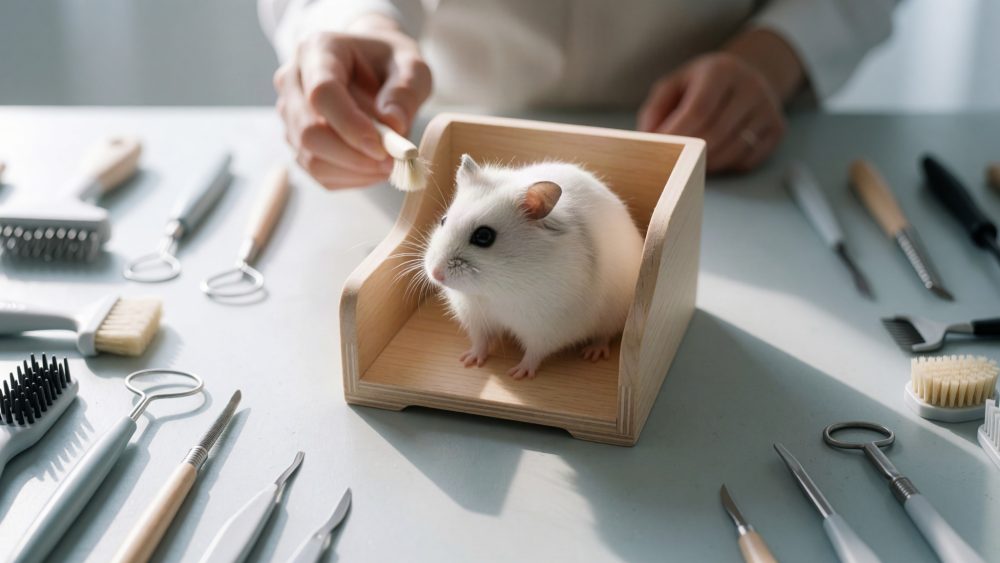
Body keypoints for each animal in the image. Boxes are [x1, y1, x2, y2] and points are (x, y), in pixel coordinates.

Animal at [422, 155, 644, 379]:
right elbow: (480, 341)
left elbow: (534, 353)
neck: (496, 290)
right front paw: (469, 360)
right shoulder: (476, 318)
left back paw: (592, 353)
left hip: (613, 315)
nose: (436, 274)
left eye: (484, 236)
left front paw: (518, 374)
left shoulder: (547, 328)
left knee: (605, 335)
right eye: (443, 220)